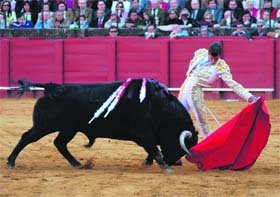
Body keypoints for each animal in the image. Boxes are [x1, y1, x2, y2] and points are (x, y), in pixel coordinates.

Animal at [7, 79, 199, 172]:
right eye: (180, 146)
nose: (173, 162)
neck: (159, 105)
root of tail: (52, 87)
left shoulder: (146, 136)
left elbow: (151, 150)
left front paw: (149, 163)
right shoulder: (144, 133)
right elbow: (154, 149)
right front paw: (165, 167)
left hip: (68, 128)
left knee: (59, 143)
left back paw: (77, 164)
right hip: (45, 125)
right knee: (27, 137)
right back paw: (10, 162)